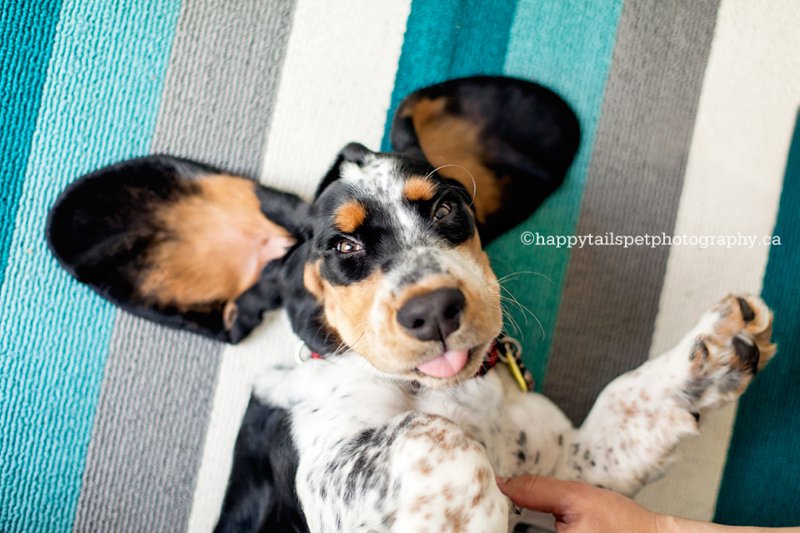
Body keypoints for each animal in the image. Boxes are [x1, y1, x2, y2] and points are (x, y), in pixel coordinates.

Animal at [47, 77, 772, 528]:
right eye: (339, 246)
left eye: (448, 206)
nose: (435, 310)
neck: (447, 394)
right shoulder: (329, 462)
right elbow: (433, 436)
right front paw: (475, 506)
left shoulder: (572, 467)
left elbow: (627, 401)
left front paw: (708, 352)